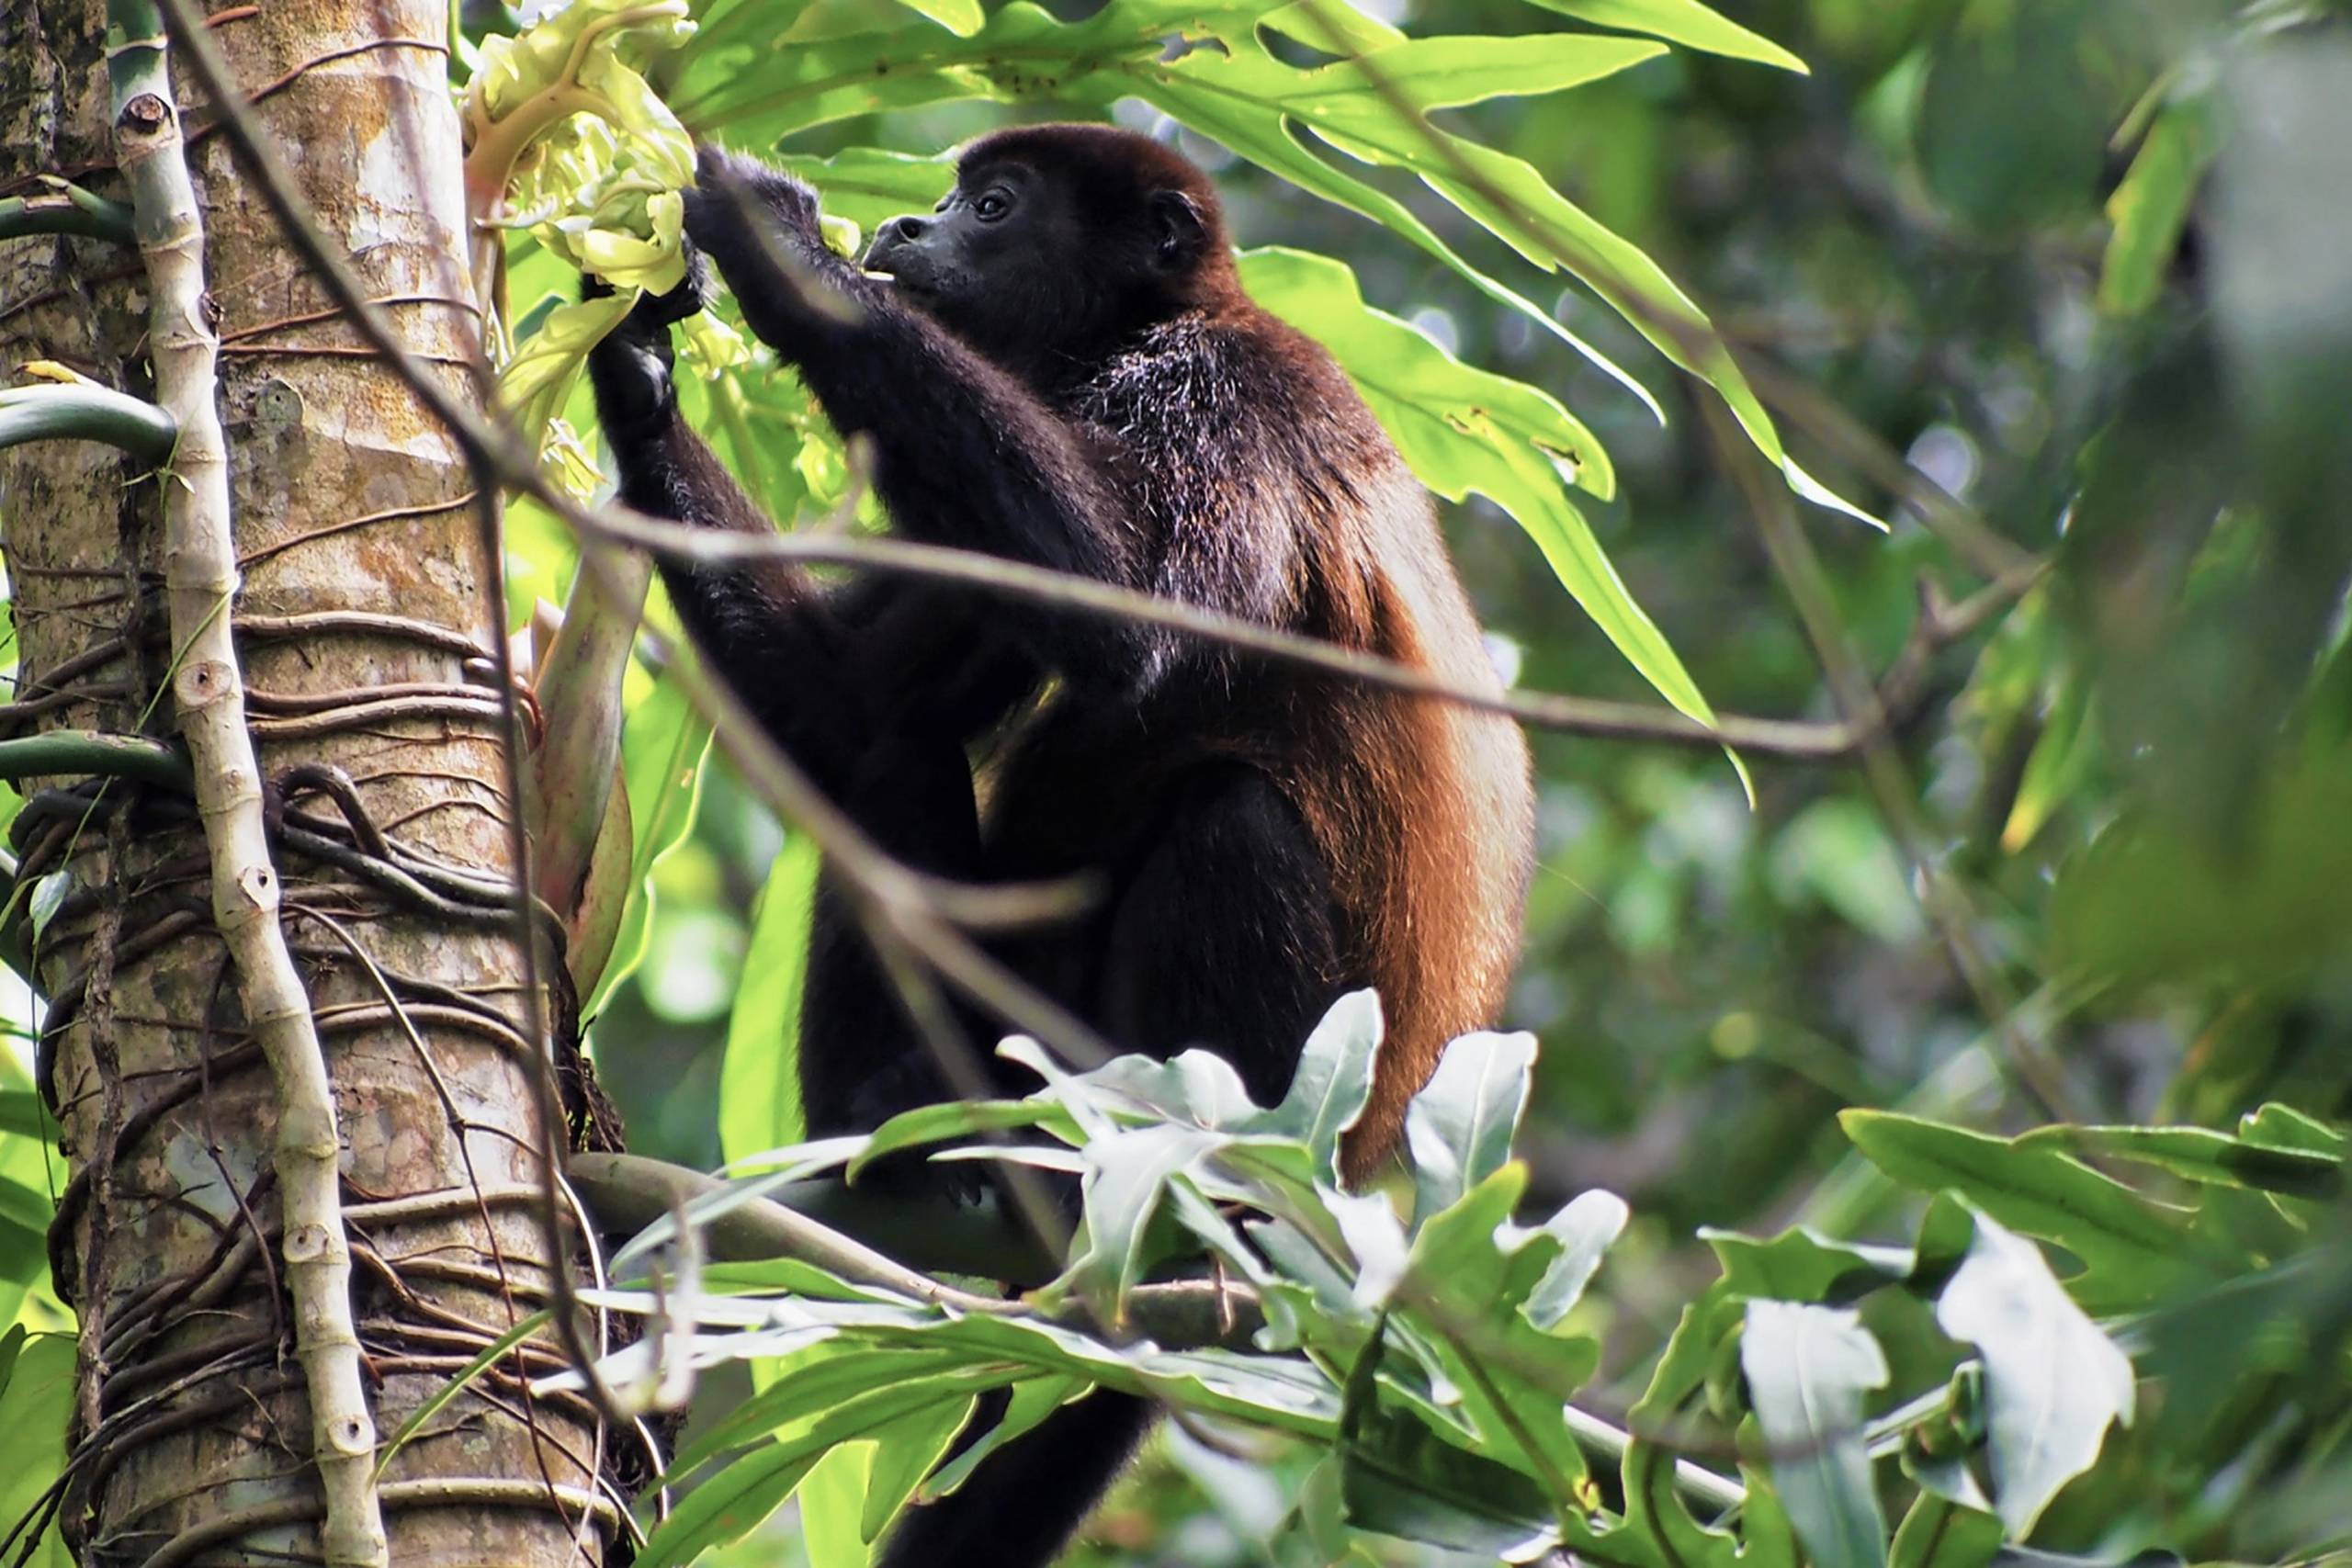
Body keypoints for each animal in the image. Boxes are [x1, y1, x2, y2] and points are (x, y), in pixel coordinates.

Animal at [585, 123, 1533, 1567]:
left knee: (1234, 823)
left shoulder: (1221, 400)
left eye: (990, 204)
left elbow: (1121, 603)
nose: (905, 224)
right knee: (900, 746)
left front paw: (773, 246)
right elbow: (852, 699)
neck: (1130, 338)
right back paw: (901, 1128)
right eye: (949, 197)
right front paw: (634, 367)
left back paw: (1170, 1190)